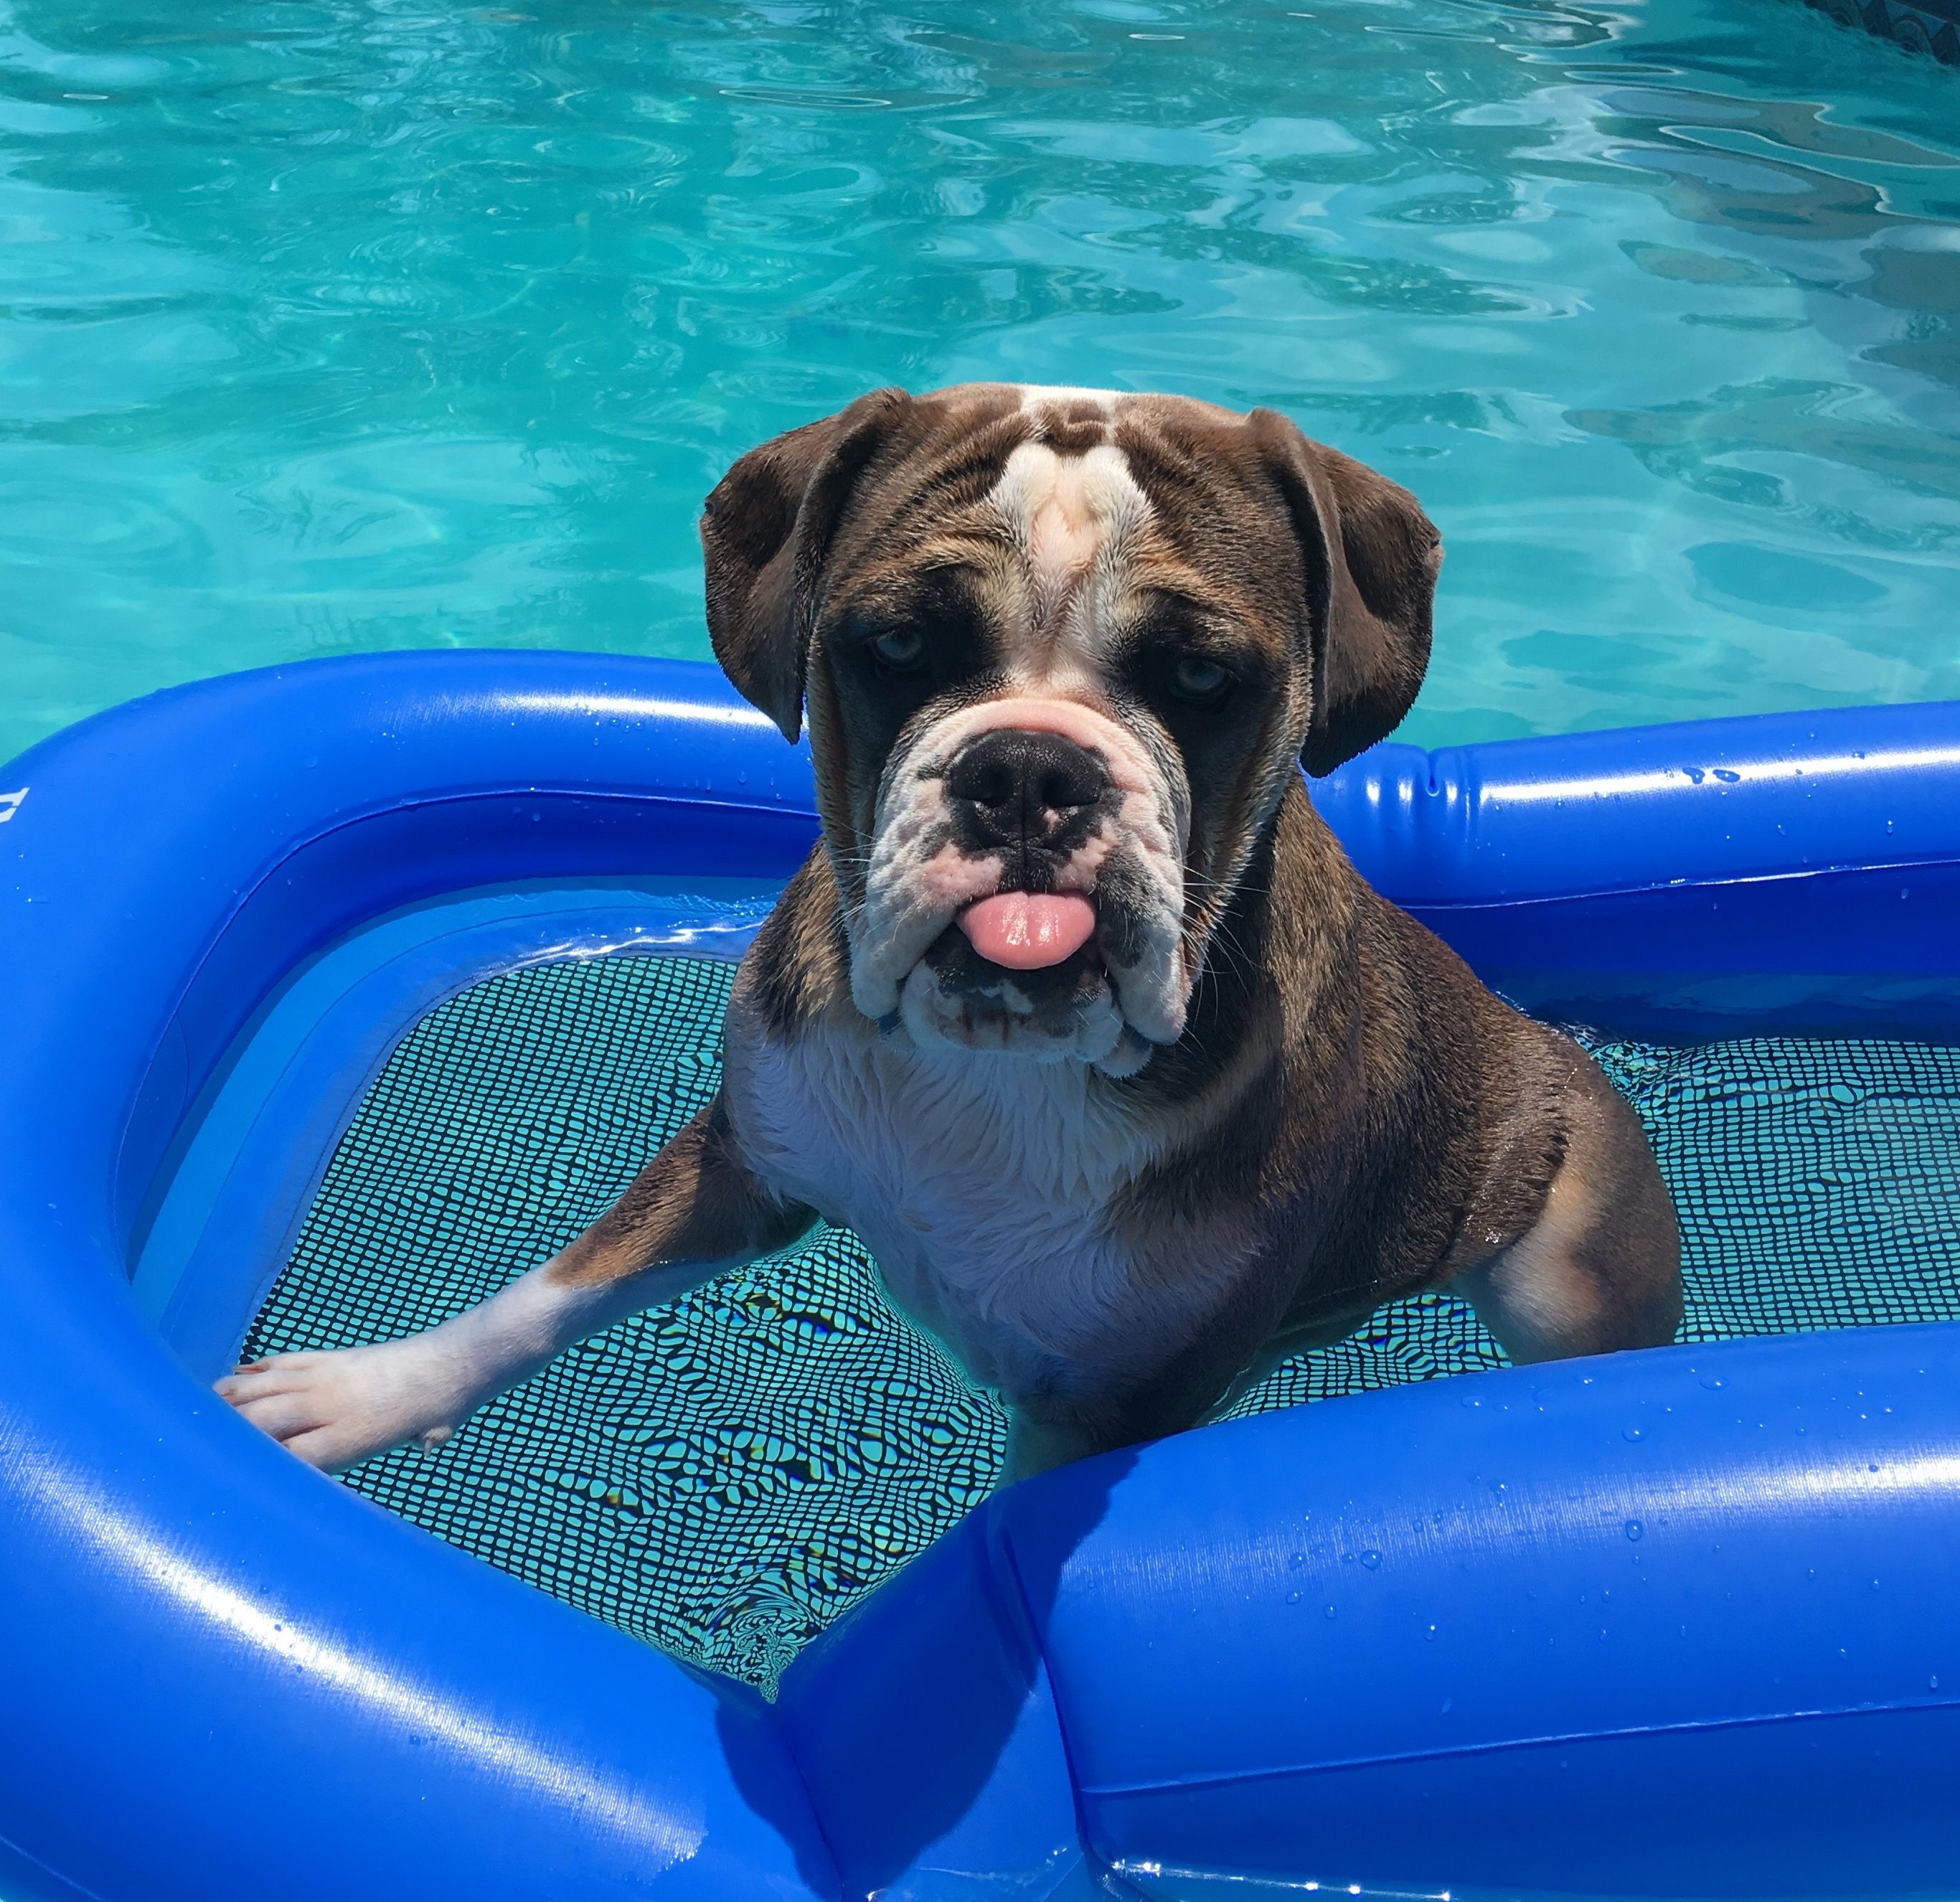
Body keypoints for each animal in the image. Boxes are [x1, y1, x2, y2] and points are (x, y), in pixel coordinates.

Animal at [219, 384, 1683, 1481]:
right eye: (899, 646)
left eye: (1202, 676)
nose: (1029, 768)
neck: (991, 1069)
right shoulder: (737, 1163)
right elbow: (556, 1288)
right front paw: (370, 1390)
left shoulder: (1117, 1406)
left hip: (1569, 1264)